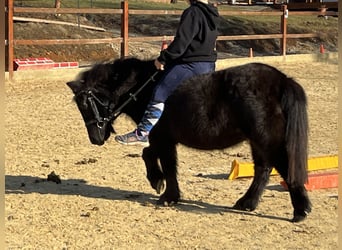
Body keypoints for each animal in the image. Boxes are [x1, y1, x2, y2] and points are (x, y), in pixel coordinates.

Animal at [67, 57, 312, 222]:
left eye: (86, 103)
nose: (96, 139)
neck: (143, 87)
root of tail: (281, 81)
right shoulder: (161, 138)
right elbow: (150, 155)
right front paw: (159, 183)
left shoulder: (162, 137)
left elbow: (165, 164)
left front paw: (166, 193)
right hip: (257, 140)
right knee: (263, 169)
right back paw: (247, 203)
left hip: (266, 139)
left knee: (282, 167)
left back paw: (300, 210)